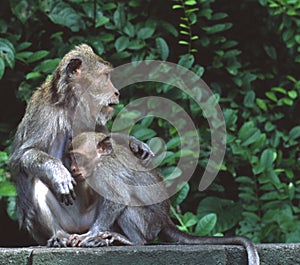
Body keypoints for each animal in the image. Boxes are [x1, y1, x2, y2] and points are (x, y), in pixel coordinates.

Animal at [9, 44, 152, 246]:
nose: (117, 92)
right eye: (105, 76)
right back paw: (59, 235)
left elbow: (104, 139)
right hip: (61, 224)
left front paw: (134, 143)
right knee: (36, 180)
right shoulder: (43, 112)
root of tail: (79, 227)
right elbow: (26, 154)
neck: (72, 103)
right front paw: (58, 172)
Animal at [69, 132, 258, 264]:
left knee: (128, 206)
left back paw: (133, 242)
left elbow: (118, 198)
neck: (99, 160)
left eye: (78, 157)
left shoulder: (105, 171)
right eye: (71, 156)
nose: (72, 167)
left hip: (149, 224)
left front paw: (90, 233)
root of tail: (166, 219)